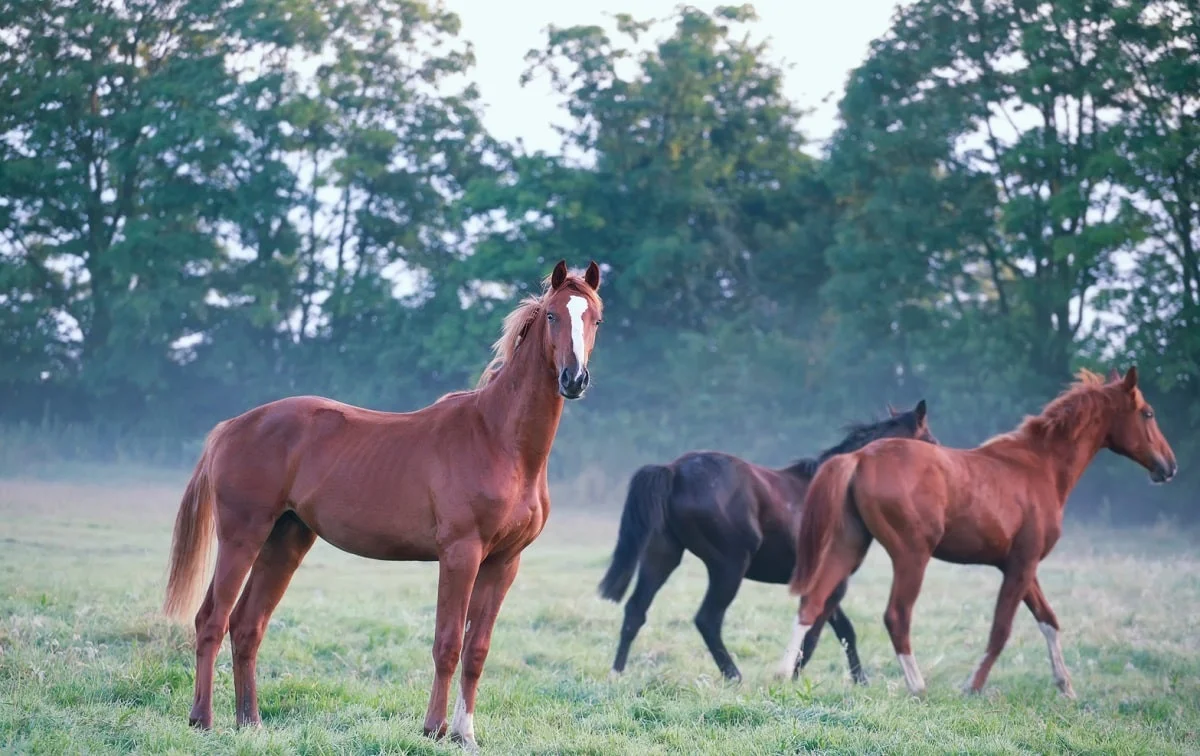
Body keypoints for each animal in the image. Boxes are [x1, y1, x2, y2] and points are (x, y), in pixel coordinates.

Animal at [164, 261, 604, 753]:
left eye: (595, 319)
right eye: (552, 315)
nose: (574, 379)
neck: (499, 440)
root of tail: (232, 427)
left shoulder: (505, 562)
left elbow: (477, 649)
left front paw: (466, 734)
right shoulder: (461, 554)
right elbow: (448, 643)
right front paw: (433, 729)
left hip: (285, 540)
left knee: (247, 625)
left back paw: (251, 723)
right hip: (243, 535)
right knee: (211, 619)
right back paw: (203, 721)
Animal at [597, 403, 936, 686]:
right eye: (930, 441)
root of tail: (673, 470)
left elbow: (843, 631)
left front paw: (859, 680)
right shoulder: (835, 582)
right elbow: (816, 634)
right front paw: (794, 676)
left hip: (663, 555)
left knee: (635, 610)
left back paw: (617, 673)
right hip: (729, 566)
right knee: (707, 619)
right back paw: (734, 675)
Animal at [777, 369, 1180, 700]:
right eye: (1148, 413)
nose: (1169, 466)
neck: (1039, 466)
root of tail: (859, 458)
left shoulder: (1021, 565)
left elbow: (1048, 620)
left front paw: (1066, 687)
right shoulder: (1021, 565)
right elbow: (1001, 630)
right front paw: (972, 687)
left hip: (849, 546)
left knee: (812, 603)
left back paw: (782, 675)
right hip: (911, 556)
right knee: (896, 616)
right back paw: (918, 686)